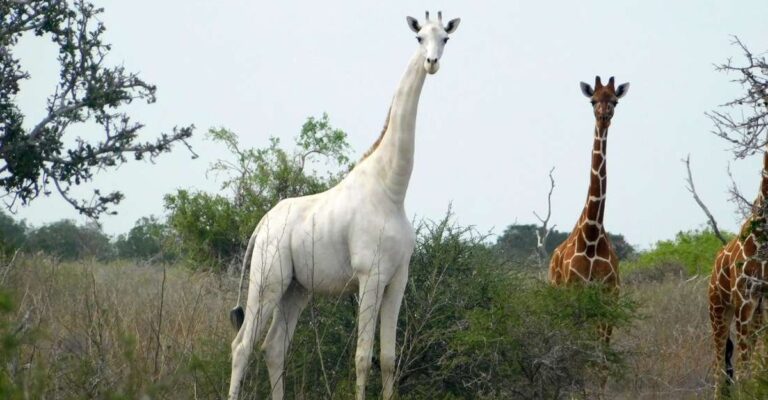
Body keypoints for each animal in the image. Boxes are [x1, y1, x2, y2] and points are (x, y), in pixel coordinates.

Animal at [225, 10, 460, 398]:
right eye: (418, 38)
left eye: (445, 38)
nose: (432, 63)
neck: (392, 190)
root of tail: (261, 225)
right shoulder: (370, 274)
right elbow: (363, 357)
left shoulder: (398, 278)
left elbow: (389, 358)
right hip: (268, 280)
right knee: (242, 345)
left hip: (297, 289)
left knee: (274, 346)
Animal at [552, 76, 632, 294]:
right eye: (592, 101)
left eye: (615, 101)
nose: (603, 117)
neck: (591, 236)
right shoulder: (573, 287)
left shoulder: (612, 290)